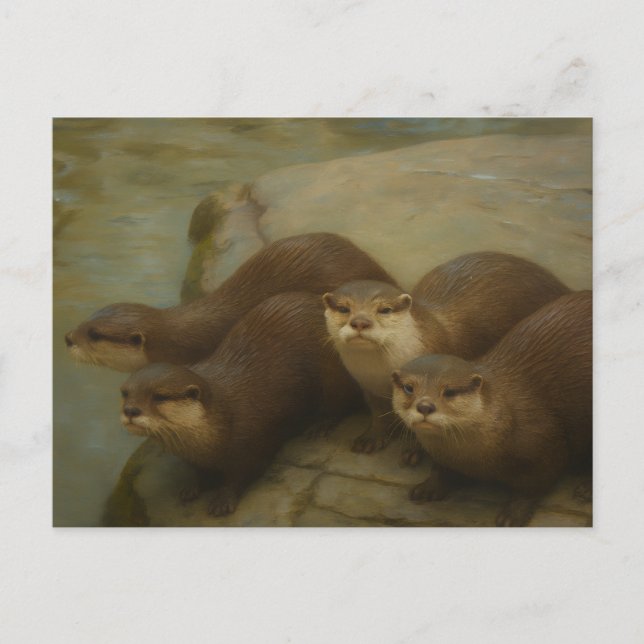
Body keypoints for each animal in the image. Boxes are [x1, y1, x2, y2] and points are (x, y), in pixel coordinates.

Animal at [119, 292, 362, 517]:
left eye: (159, 396)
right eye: (125, 393)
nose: (131, 410)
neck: (224, 419)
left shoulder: (251, 443)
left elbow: (240, 475)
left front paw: (222, 500)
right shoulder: (196, 458)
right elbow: (200, 473)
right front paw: (193, 487)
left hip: (332, 372)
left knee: (340, 403)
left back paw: (320, 425)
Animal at [323, 252, 570, 457]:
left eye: (384, 309)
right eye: (344, 308)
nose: (360, 322)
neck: (381, 375)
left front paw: (418, 451)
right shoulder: (368, 388)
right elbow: (378, 415)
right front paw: (371, 438)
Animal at [391, 290, 592, 527]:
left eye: (449, 391)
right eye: (409, 387)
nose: (424, 406)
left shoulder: (546, 444)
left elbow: (534, 485)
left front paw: (513, 513)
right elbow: (442, 470)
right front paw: (429, 487)